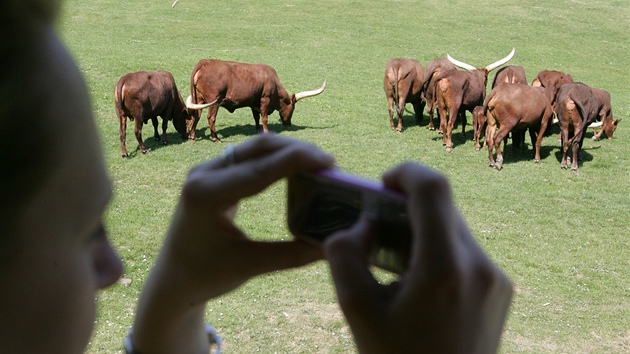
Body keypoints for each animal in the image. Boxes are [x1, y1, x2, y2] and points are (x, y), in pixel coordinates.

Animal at [186, 59, 326, 141]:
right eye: (293, 109)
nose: (288, 125)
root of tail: (205, 62)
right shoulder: (265, 99)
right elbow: (264, 118)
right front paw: (266, 132)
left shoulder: (254, 103)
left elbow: (256, 117)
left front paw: (258, 130)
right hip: (214, 101)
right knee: (211, 117)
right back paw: (215, 138)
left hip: (199, 99)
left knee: (196, 116)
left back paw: (193, 136)